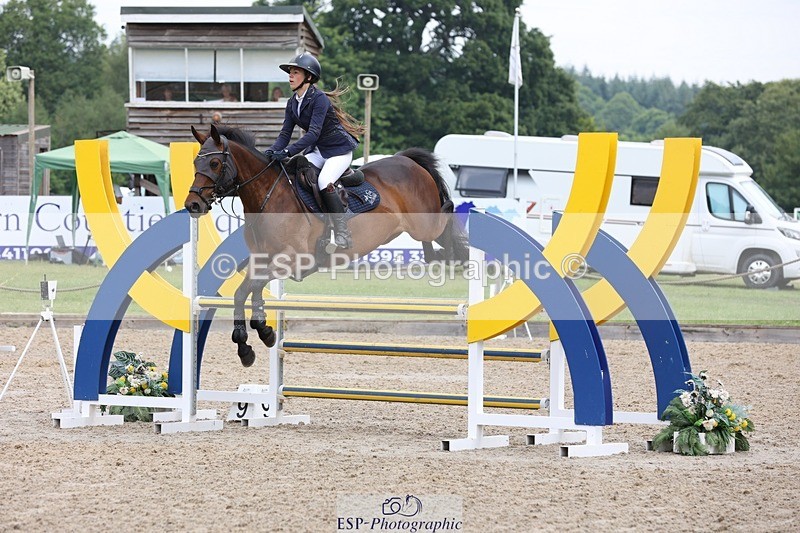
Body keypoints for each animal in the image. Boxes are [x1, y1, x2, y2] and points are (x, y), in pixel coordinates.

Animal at [185, 124, 468, 367]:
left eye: (214, 163)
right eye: (195, 163)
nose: (193, 205)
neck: (268, 197)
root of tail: (408, 161)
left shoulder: (292, 259)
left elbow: (245, 290)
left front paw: (247, 345)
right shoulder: (262, 260)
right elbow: (249, 292)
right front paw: (262, 334)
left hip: (424, 223)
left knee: (446, 215)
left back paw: (459, 249)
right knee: (432, 247)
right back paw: (444, 254)